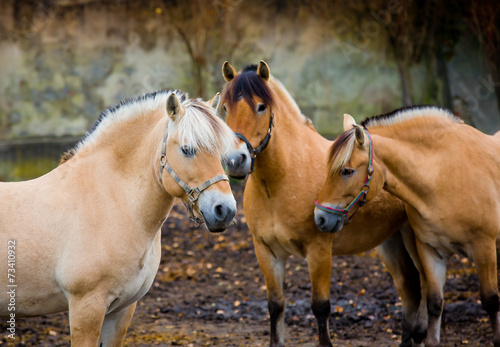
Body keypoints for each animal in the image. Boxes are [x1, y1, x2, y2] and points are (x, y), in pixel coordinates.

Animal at [0, 91, 238, 346]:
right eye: (187, 149)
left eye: (219, 151)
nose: (225, 210)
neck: (112, 201)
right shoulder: (87, 308)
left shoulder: (121, 311)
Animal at [219, 61, 426, 347]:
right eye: (225, 108)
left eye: (261, 107)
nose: (234, 161)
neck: (280, 180)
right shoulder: (266, 251)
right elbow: (275, 306)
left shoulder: (318, 251)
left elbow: (320, 307)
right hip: (391, 242)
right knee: (409, 291)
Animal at [316, 107, 500, 346]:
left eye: (347, 171)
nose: (319, 217)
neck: (441, 176)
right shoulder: (431, 252)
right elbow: (434, 304)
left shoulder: (483, 248)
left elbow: (491, 302)